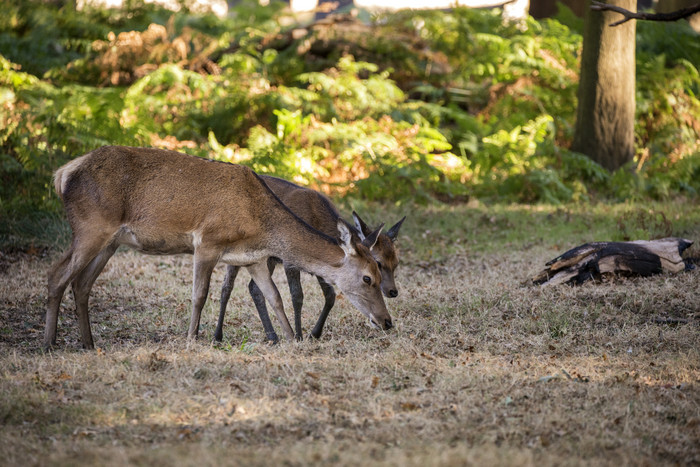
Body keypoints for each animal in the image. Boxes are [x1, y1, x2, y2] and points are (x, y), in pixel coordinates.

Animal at [215, 176, 404, 344]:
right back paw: (218, 335)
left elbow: (330, 295)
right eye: (378, 263)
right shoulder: (290, 260)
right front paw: (299, 336)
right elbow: (297, 296)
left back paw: (272, 336)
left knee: (253, 287)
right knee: (227, 287)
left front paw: (314, 334)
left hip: (266, 258)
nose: (393, 291)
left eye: (396, 263)